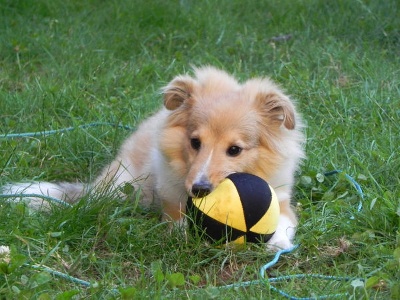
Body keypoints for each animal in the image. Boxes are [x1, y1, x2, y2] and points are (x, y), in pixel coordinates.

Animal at [2, 67, 304, 251]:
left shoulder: (282, 199)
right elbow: (178, 221)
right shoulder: (171, 200)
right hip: (124, 187)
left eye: (235, 150)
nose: (199, 189)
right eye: (195, 142)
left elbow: (283, 221)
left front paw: (277, 244)